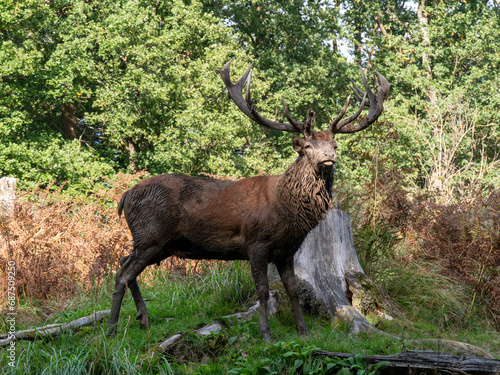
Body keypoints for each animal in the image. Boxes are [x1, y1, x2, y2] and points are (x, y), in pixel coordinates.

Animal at [107, 59, 392, 340]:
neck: (285, 209)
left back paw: (142, 319)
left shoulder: (287, 250)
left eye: (334, 145)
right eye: (308, 146)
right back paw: (111, 330)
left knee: (123, 263)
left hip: (157, 243)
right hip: (151, 235)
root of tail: (125, 196)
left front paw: (303, 332)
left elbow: (293, 290)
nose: (328, 157)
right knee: (122, 273)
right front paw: (266, 334)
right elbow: (263, 290)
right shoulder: (256, 242)